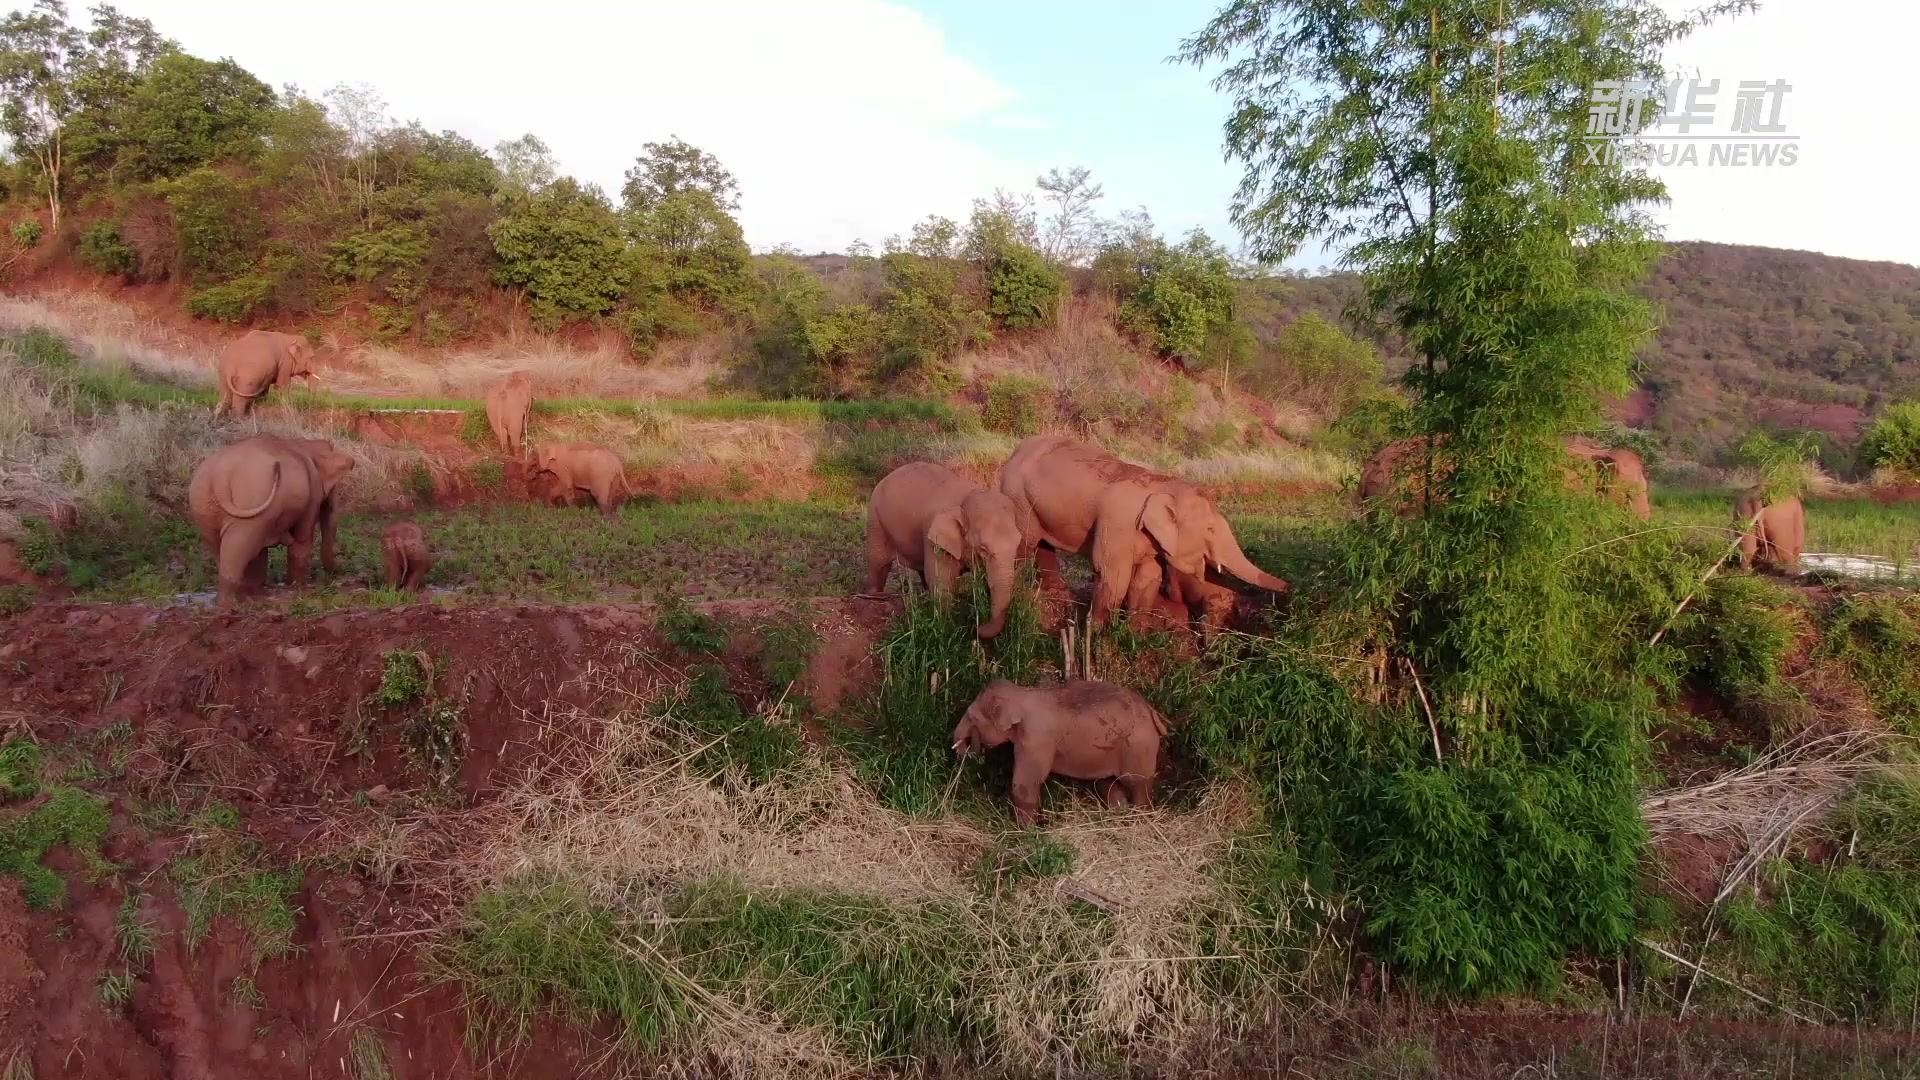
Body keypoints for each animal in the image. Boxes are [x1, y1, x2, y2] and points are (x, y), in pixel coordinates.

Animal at [187, 430, 357, 607]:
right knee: (240, 545)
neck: (306, 443)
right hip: (252, 500)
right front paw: (296, 586)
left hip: (202, 504)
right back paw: (230, 603)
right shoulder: (312, 495)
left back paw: (237, 598)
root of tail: (221, 475)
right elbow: (302, 538)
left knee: (224, 546)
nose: (340, 569)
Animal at [864, 457, 1029, 634]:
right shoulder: (934, 540)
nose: (976, 626)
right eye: (983, 549)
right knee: (879, 564)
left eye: (1018, 544)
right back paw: (875, 596)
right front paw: (947, 626)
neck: (968, 497)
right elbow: (943, 586)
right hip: (875, 521)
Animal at [948, 672, 1159, 822]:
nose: (968, 749)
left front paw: (1026, 831)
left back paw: (1141, 818)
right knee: (1107, 782)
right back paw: (1119, 815)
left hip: (1138, 747)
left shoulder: (1035, 739)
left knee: (1137, 783)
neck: (1023, 693)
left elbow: (1025, 783)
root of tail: (1152, 712)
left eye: (971, 716)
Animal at [990, 430, 1290, 626]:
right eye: (1210, 530)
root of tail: (1016, 450)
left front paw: (1134, 635)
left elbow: (1147, 579)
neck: (1162, 484)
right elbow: (1114, 575)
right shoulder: (1118, 523)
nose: (1291, 589)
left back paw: (1057, 592)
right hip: (1017, 496)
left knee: (1044, 544)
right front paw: (1099, 634)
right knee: (1024, 544)